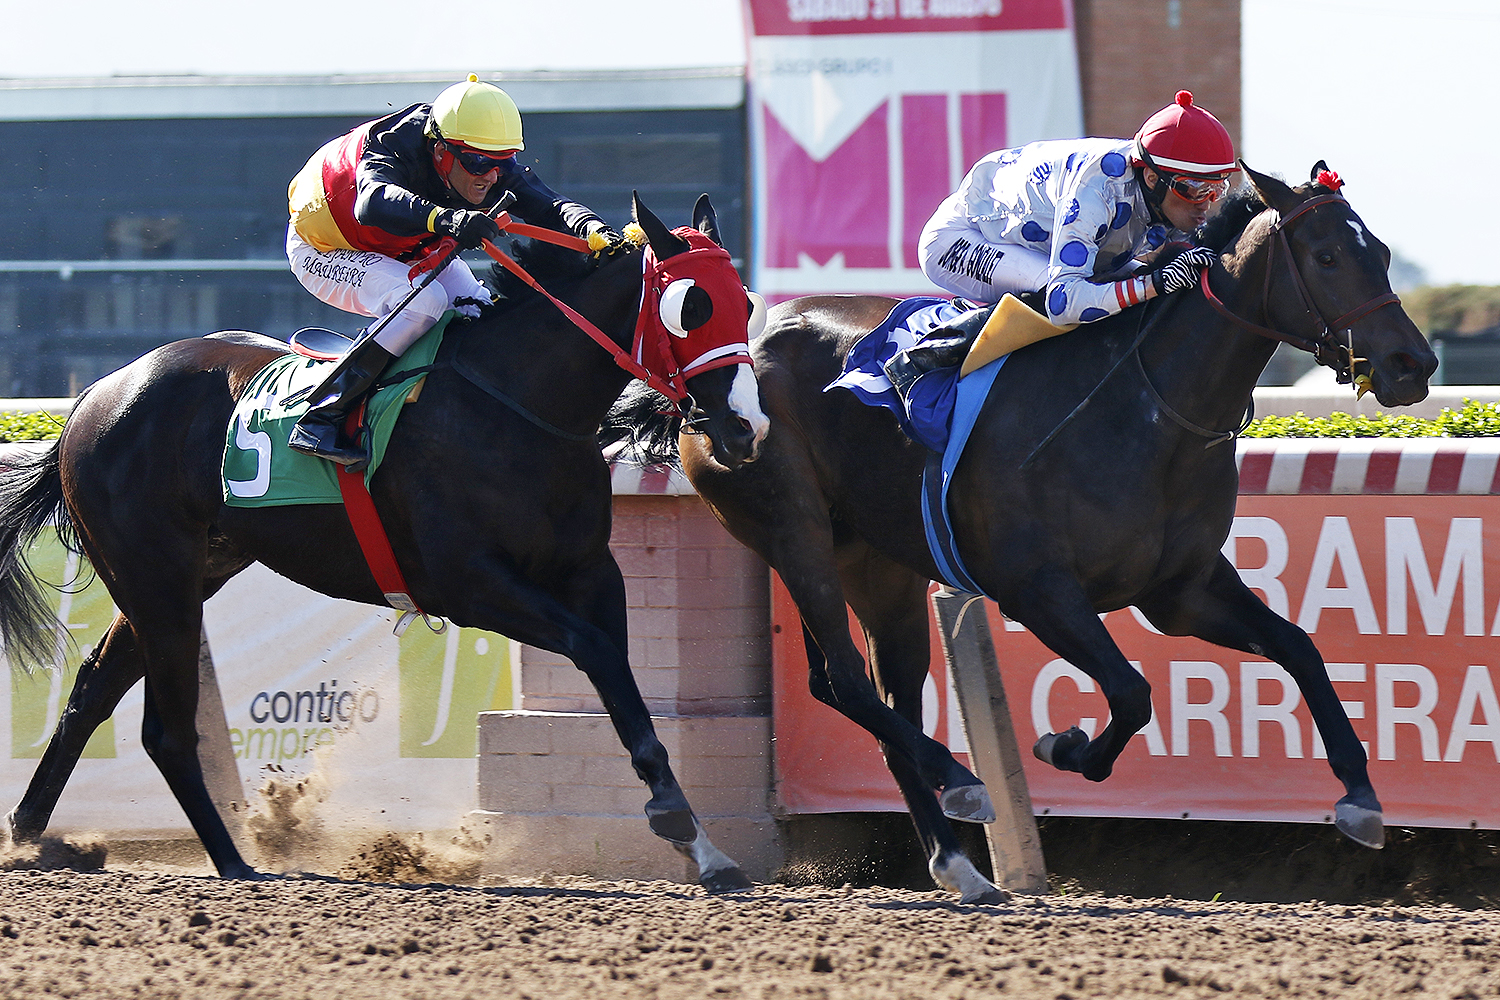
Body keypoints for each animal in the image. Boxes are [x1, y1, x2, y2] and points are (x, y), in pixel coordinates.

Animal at [0, 192, 769, 893]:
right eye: (692, 306)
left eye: (747, 302)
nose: (744, 428)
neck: (515, 403)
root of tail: (95, 397)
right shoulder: (469, 583)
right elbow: (598, 652)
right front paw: (675, 819)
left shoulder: (590, 571)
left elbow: (626, 685)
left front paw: (703, 845)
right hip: (156, 576)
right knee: (164, 727)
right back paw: (232, 862)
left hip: (191, 569)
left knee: (94, 689)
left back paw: (30, 838)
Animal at [603, 163, 1438, 903]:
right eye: (1327, 256)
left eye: (1379, 250)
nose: (1413, 363)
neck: (1149, 408)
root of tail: (694, 376)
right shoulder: (1037, 591)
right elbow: (1132, 692)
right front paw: (1064, 747)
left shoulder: (1184, 591)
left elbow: (1300, 649)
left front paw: (1361, 798)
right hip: (791, 530)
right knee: (842, 679)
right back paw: (966, 785)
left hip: (875, 565)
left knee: (881, 695)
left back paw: (959, 863)